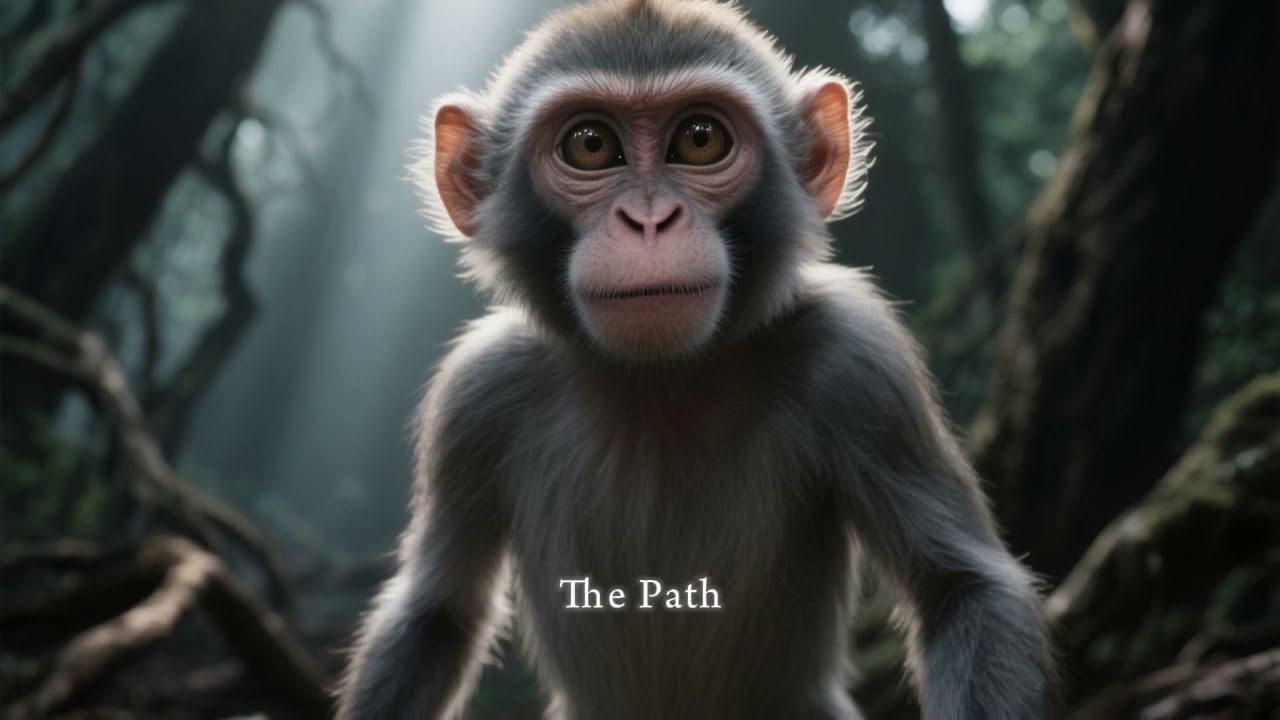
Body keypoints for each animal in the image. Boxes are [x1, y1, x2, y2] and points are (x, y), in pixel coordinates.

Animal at [337, 0, 1053, 718]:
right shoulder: (480, 392)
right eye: (590, 145)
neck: (660, 382)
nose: (649, 220)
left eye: (701, 139)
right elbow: (436, 615)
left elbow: (960, 589)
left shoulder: (856, 360)